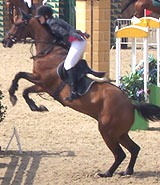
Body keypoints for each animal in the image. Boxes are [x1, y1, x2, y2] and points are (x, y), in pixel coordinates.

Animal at [2, 10, 160, 178]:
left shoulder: (42, 81)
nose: (5, 41)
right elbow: (25, 88)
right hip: (120, 133)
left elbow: (20, 77)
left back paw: (107, 173)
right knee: (134, 148)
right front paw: (36, 106)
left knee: (120, 154)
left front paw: (16, 97)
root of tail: (131, 104)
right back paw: (127, 171)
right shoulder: (41, 85)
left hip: (107, 130)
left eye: (17, 24)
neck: (48, 51)